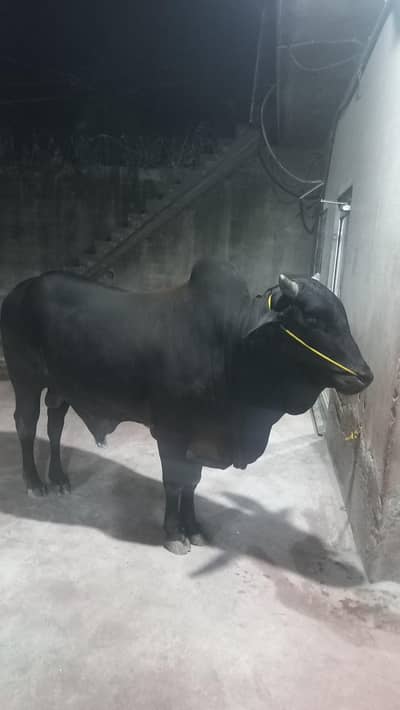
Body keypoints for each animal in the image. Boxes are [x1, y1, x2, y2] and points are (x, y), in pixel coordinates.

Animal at [0, 260, 373, 554]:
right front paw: (173, 534)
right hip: (24, 378)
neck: (233, 347)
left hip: (61, 386)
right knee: (26, 424)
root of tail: (21, 290)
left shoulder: (200, 437)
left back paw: (59, 477)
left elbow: (192, 483)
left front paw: (194, 529)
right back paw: (35, 482)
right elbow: (174, 482)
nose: (364, 375)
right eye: (312, 318)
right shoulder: (170, 432)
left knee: (55, 423)